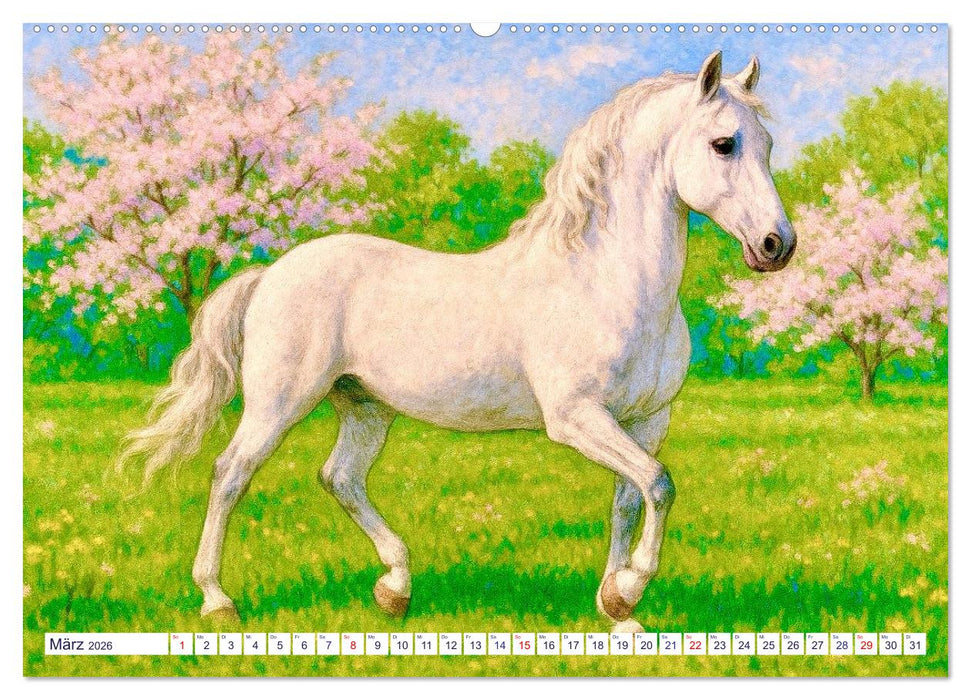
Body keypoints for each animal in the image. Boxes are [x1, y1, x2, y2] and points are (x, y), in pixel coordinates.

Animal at [122, 50, 795, 630]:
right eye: (724, 144)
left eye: (766, 144)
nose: (777, 245)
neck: (604, 278)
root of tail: (270, 274)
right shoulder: (577, 417)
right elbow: (659, 485)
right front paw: (628, 590)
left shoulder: (647, 420)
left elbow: (633, 498)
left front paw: (616, 607)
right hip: (278, 403)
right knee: (230, 473)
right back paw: (217, 601)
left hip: (364, 407)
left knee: (340, 477)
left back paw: (395, 589)